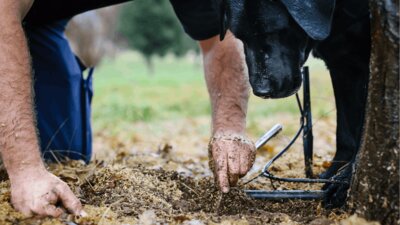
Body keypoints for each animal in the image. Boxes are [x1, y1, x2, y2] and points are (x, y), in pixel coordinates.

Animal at [217, 0, 370, 207]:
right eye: (241, 37)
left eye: (274, 31)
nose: (261, 90)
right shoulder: (340, 65)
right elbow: (345, 133)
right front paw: (334, 173)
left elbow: (364, 130)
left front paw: (344, 181)